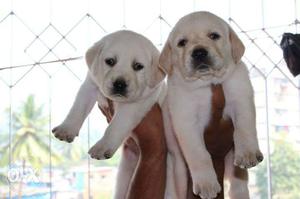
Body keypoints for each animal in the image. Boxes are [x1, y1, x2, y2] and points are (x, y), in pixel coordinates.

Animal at [51, 30, 164, 198]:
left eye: (138, 66)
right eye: (110, 61)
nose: (119, 84)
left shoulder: (135, 104)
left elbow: (116, 125)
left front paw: (102, 147)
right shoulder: (90, 85)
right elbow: (77, 108)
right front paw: (67, 129)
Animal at [159, 11, 262, 198]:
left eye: (214, 36)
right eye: (182, 43)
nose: (199, 52)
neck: (207, 83)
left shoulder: (241, 97)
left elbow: (244, 128)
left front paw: (248, 152)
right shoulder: (186, 121)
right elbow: (199, 154)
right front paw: (206, 184)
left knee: (238, 183)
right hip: (178, 168)